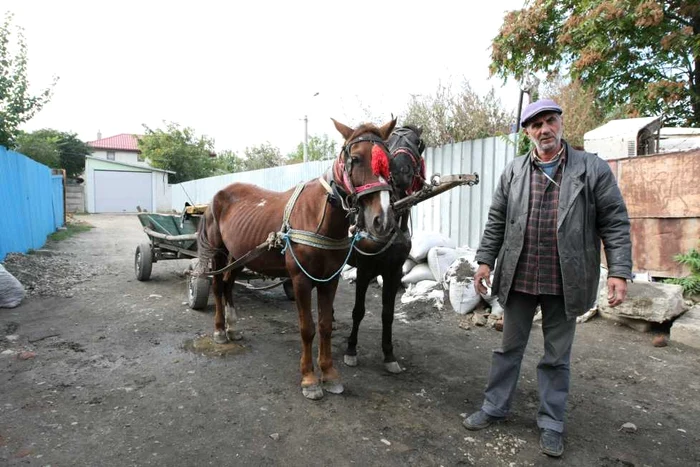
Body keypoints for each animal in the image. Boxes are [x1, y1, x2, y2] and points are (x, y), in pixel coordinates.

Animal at [196, 119, 400, 400]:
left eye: (389, 161)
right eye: (356, 158)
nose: (384, 221)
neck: (318, 217)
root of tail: (218, 195)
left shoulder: (330, 280)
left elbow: (324, 326)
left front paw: (330, 374)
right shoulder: (301, 280)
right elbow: (307, 328)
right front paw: (310, 379)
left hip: (239, 255)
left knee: (227, 285)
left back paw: (233, 328)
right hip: (219, 253)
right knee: (217, 286)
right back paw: (219, 330)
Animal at [340, 123, 426, 372]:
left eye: (418, 143)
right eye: (389, 144)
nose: (400, 172)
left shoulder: (394, 272)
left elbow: (388, 313)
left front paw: (389, 354)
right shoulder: (364, 269)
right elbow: (358, 310)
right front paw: (351, 349)